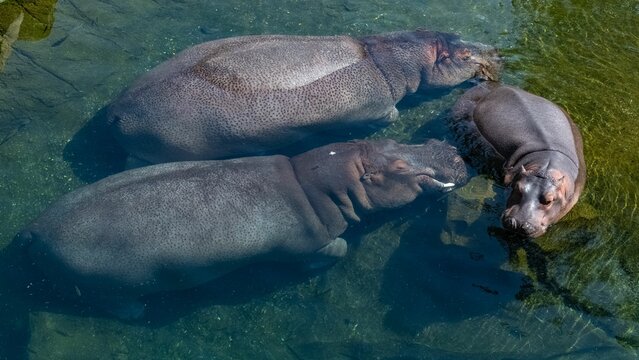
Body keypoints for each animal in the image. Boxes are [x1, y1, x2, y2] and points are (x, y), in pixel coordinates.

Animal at [18, 138, 470, 318]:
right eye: (399, 167)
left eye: (393, 142)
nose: (450, 149)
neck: (311, 183)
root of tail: (34, 228)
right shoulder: (306, 245)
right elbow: (332, 248)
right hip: (107, 285)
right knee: (108, 301)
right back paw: (137, 312)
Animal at [109, 29, 500, 165]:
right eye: (465, 55)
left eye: (458, 35)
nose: (496, 49)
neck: (390, 56)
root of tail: (119, 112)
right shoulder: (376, 107)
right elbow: (389, 115)